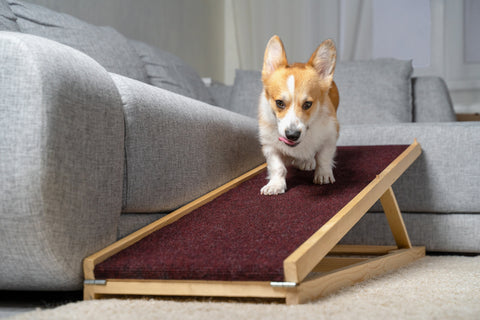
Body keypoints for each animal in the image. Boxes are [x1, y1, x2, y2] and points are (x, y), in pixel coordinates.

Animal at [256, 35, 340, 195]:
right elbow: (277, 167)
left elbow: (324, 157)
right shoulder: (270, 146)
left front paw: (323, 175)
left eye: (307, 104)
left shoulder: (330, 136)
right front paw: (275, 185)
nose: (292, 135)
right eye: (279, 103)